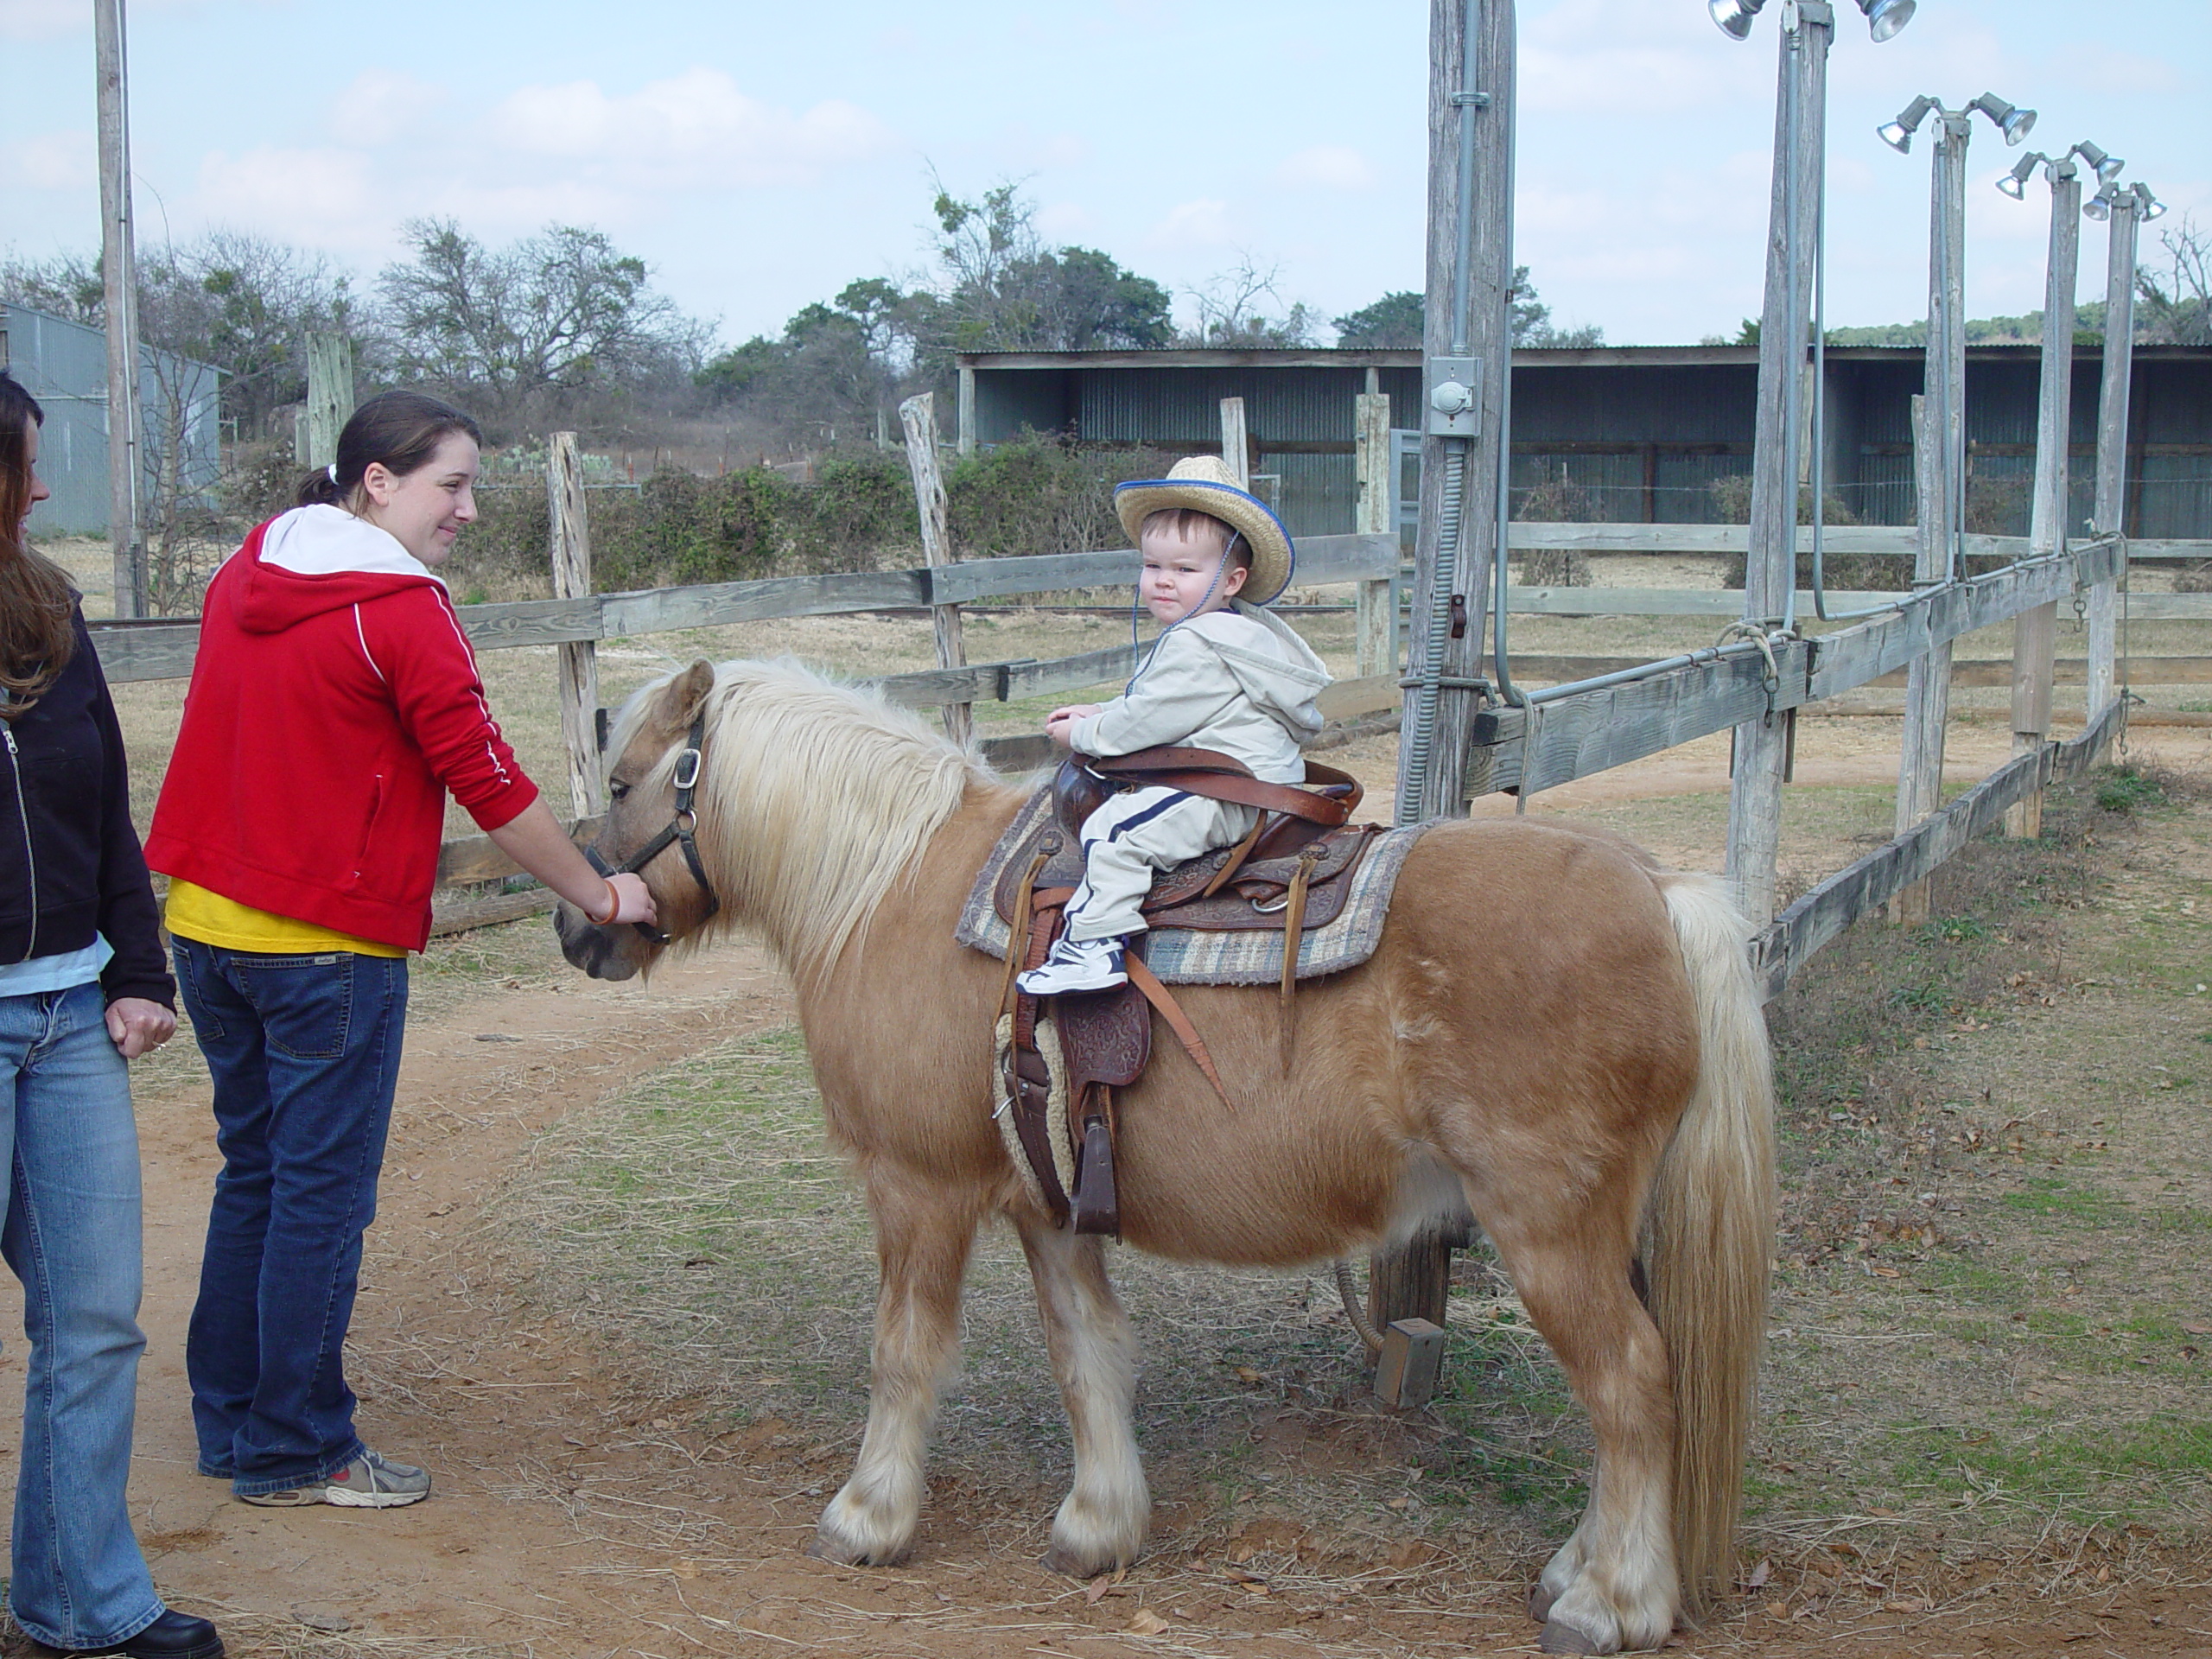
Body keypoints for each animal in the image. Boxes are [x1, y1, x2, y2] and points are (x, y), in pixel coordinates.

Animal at [557, 654, 1778, 1654]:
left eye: (622, 783)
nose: (579, 930)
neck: (885, 885)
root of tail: (1658, 891)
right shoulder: (1046, 1204)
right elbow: (1088, 1354)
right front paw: (1098, 1526)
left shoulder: (918, 1189)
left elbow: (902, 1356)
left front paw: (867, 1518)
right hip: (1606, 1233)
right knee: (1640, 1385)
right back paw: (1578, 1570)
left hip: (1549, 1230)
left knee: (1630, 1385)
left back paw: (1611, 1602)